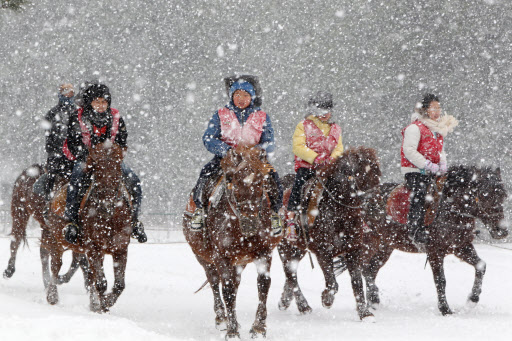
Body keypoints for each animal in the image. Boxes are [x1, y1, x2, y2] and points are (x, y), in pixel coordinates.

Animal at [43, 142, 132, 312]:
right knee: (55, 266)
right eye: (97, 167)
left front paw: (104, 304)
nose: (106, 203)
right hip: (57, 240)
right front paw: (102, 306)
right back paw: (52, 296)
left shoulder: (120, 248)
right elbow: (101, 282)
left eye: (118, 166)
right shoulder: (93, 248)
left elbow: (119, 285)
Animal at [183, 145, 284, 338]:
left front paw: (259, 327)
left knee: (234, 283)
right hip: (203, 257)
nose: (250, 223)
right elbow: (227, 288)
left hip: (239, 261)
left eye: (261, 183)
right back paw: (222, 318)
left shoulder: (264, 253)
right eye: (234, 181)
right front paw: (231, 331)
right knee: (215, 281)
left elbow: (263, 284)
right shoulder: (221, 255)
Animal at [276, 146, 380, 318]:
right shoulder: (323, 252)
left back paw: (285, 300)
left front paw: (364, 313)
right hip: (285, 247)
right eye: (360, 175)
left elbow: (357, 282)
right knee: (290, 274)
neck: (339, 213)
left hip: (298, 249)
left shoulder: (353, 250)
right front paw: (327, 299)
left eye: (377, 174)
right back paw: (303, 306)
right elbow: (332, 283)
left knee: (290, 274)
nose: (375, 203)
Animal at [340, 165, 508, 314]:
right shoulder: (435, 252)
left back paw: (373, 301)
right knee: (361, 270)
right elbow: (440, 280)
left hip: (385, 247)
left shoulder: (460, 246)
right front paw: (445, 309)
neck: (450, 209)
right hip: (368, 245)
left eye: (503, 196)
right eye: (485, 194)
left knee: (370, 270)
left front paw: (472, 299)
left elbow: (481, 266)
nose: (502, 230)